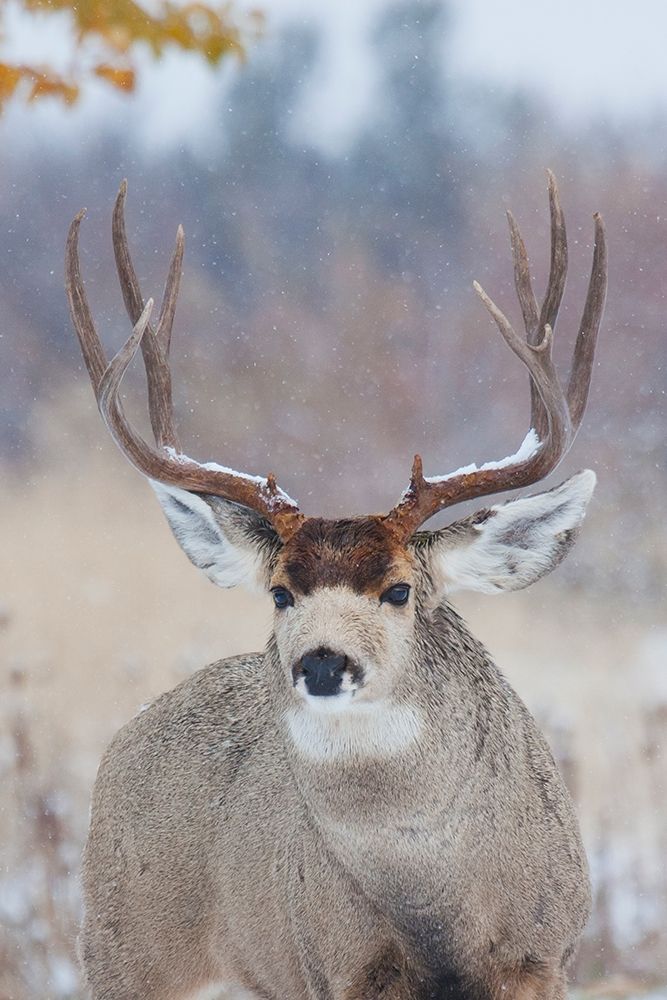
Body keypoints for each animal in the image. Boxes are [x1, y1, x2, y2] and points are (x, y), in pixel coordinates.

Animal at [66, 172, 607, 1000]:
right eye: (279, 593)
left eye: (399, 590)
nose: (322, 662)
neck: (439, 923)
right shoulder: (340, 966)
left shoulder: (544, 955)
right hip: (125, 949)